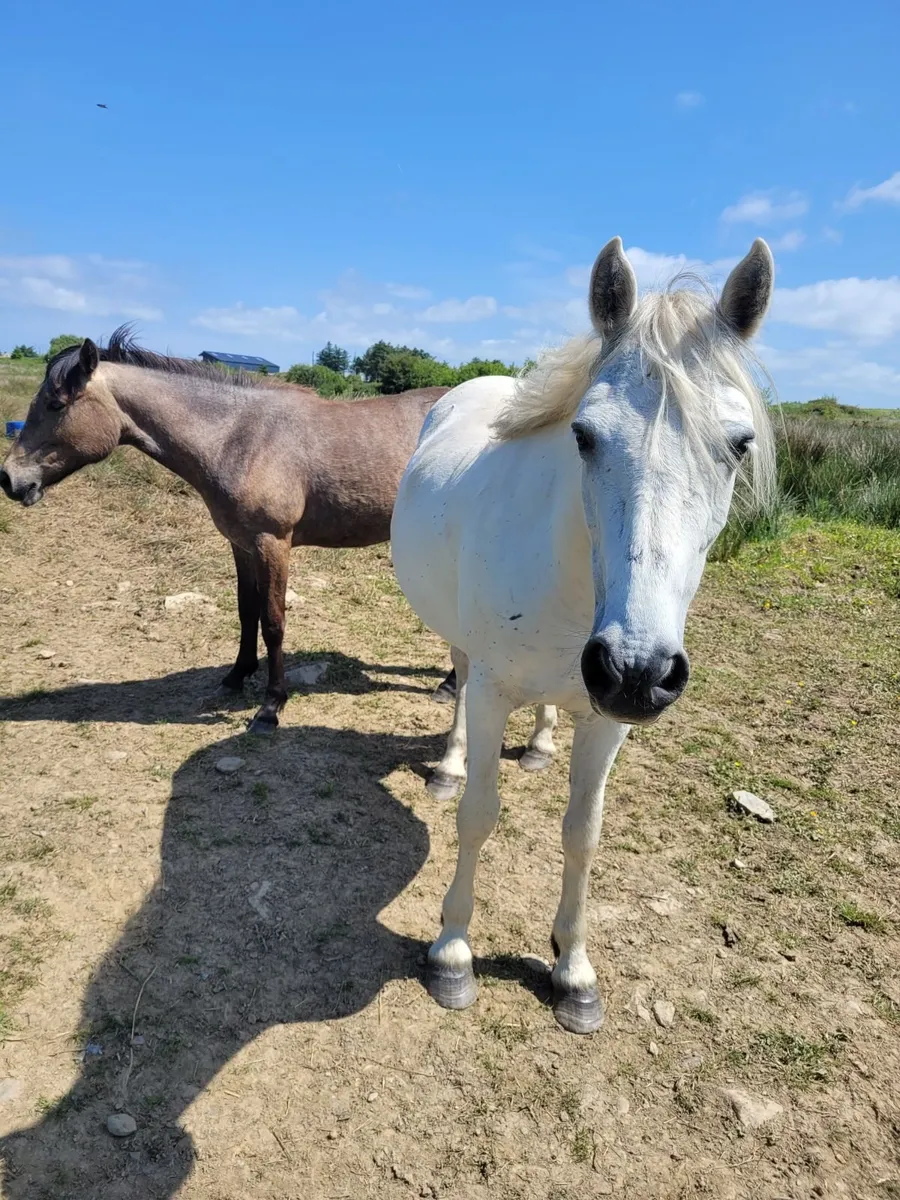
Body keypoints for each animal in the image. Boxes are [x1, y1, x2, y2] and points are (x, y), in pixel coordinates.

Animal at [0, 328, 455, 732]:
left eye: (56, 404)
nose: (8, 478)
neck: (238, 437)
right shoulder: (242, 544)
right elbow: (246, 611)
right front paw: (236, 677)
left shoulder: (273, 543)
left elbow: (273, 621)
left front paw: (270, 707)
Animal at [390, 236, 777, 1034]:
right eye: (584, 434)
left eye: (739, 445)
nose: (634, 670)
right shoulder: (494, 692)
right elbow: (479, 815)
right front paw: (452, 953)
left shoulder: (610, 724)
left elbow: (583, 833)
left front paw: (573, 969)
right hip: (464, 651)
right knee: (459, 683)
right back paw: (448, 765)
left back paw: (540, 745)